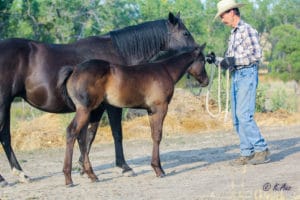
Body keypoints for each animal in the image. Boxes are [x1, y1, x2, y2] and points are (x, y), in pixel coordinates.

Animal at [0, 12, 199, 184]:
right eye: (185, 33)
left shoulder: (97, 108)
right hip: (3, 103)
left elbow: (89, 135)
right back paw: (17, 175)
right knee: (4, 135)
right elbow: (116, 133)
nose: (198, 50)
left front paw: (82, 167)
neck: (118, 53)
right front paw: (124, 167)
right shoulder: (112, 106)